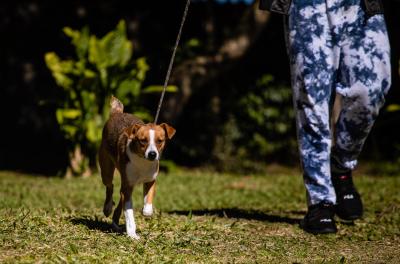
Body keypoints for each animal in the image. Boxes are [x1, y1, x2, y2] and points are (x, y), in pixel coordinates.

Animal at [98, 96, 175, 239]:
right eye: (142, 140)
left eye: (160, 141)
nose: (152, 154)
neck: (142, 161)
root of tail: (117, 113)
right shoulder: (128, 186)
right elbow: (129, 213)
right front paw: (132, 233)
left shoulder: (150, 180)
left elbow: (148, 200)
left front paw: (146, 211)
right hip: (106, 168)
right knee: (110, 186)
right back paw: (108, 208)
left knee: (119, 196)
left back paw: (115, 223)